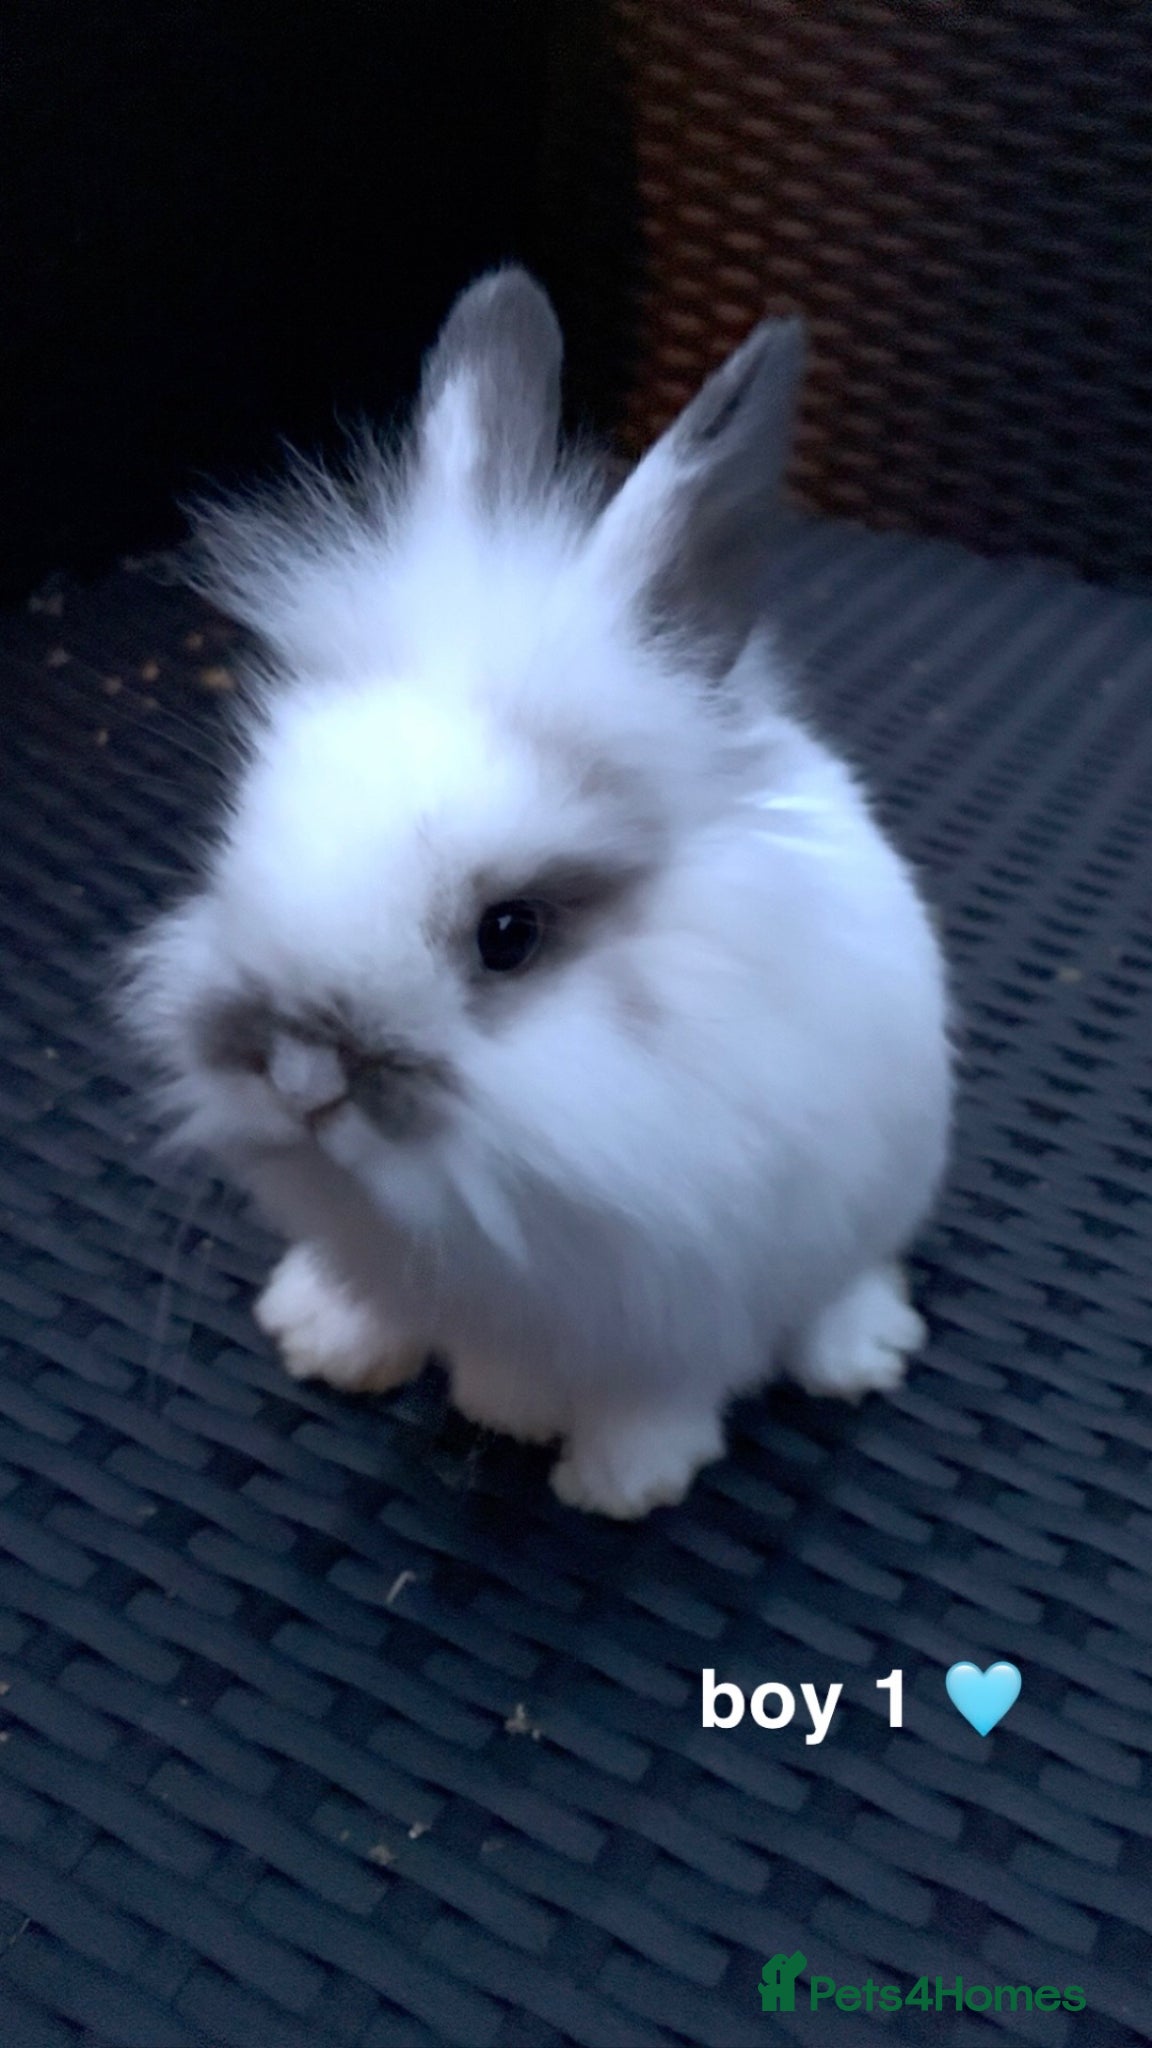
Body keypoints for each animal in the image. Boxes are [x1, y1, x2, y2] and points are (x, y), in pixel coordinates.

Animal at [123, 266, 952, 1519]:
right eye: (239, 839)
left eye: (508, 934)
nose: (303, 1079)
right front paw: (427, 1373)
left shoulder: (694, 1301)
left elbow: (661, 1397)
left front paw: (621, 1485)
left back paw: (859, 1354)